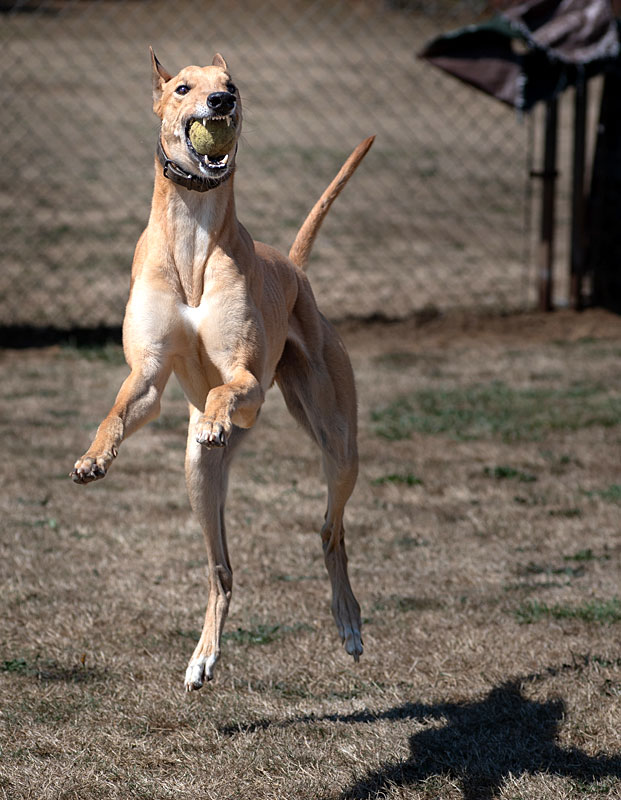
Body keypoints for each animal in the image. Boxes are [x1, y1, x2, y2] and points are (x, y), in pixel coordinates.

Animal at [72, 50, 372, 692]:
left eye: (230, 84)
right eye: (184, 87)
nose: (221, 102)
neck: (192, 237)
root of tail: (294, 267)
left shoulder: (249, 383)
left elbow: (225, 390)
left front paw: (212, 418)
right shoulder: (148, 376)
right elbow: (120, 408)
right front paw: (92, 458)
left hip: (337, 441)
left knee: (330, 530)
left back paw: (349, 623)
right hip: (200, 477)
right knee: (222, 569)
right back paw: (203, 657)